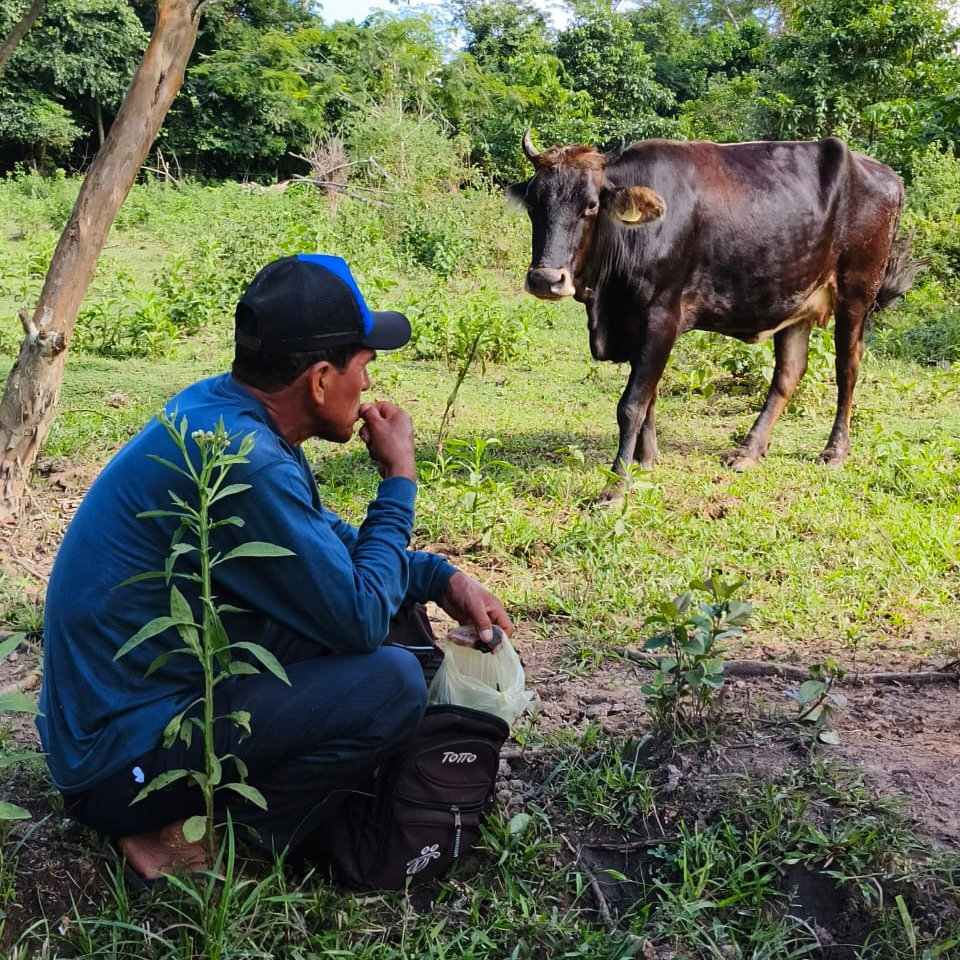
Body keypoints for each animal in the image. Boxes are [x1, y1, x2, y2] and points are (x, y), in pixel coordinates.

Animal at [510, 132, 924, 492]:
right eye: (533, 203)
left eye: (591, 205)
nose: (546, 279)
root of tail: (883, 173)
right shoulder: (635, 324)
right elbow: (649, 397)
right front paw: (645, 460)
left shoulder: (662, 317)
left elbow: (632, 404)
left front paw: (617, 485)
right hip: (798, 300)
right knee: (788, 373)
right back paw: (749, 450)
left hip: (857, 291)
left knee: (847, 367)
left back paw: (834, 450)